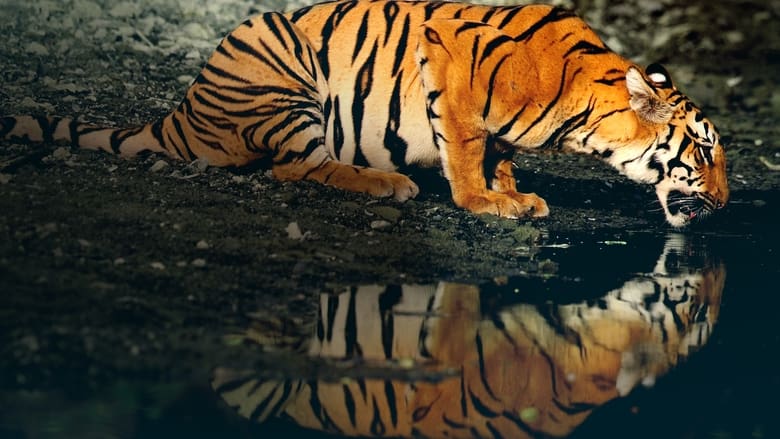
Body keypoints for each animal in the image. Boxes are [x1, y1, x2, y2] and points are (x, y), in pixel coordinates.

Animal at [1, 0, 729, 227]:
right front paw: (483, 202)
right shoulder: (450, 62)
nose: (724, 203)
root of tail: (185, 107)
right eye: (701, 152)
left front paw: (515, 193)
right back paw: (389, 182)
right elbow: (467, 149)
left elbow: (499, 153)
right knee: (295, 169)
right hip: (282, 62)